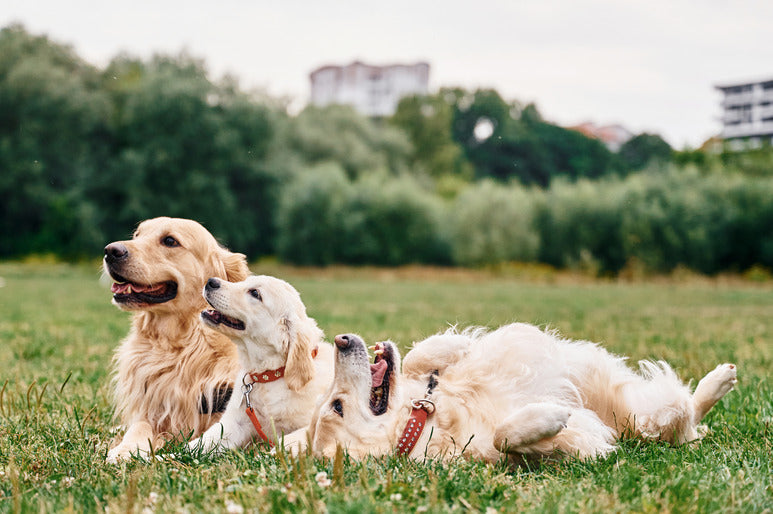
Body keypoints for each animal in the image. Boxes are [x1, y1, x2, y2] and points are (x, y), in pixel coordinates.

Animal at [102, 214, 247, 462]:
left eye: (170, 241)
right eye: (137, 235)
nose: (110, 251)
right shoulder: (153, 410)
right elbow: (139, 426)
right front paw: (125, 448)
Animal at [188, 274, 334, 450]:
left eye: (255, 293)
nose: (211, 281)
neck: (270, 376)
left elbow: (289, 441)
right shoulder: (235, 423)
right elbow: (199, 443)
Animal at [300, 320, 736, 460]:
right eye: (337, 407)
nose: (340, 340)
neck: (425, 416)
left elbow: (423, 357)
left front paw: (453, 347)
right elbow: (503, 436)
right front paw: (550, 416)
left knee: (688, 411)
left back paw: (721, 376)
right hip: (641, 419)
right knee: (680, 419)